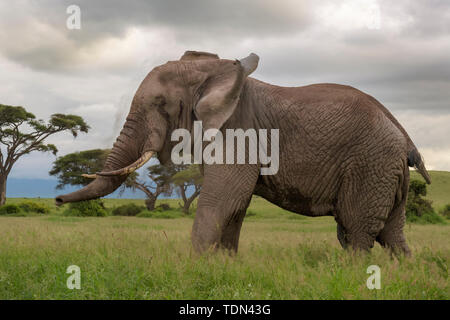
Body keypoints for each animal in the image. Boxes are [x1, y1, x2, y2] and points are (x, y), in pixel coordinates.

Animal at [54, 50, 430, 255]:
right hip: (385, 171)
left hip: (371, 165)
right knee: (391, 234)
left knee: (356, 232)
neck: (214, 73)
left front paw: (195, 270)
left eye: (160, 104)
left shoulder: (238, 130)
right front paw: (224, 266)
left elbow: (221, 201)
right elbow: (235, 208)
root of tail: (403, 137)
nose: (56, 200)